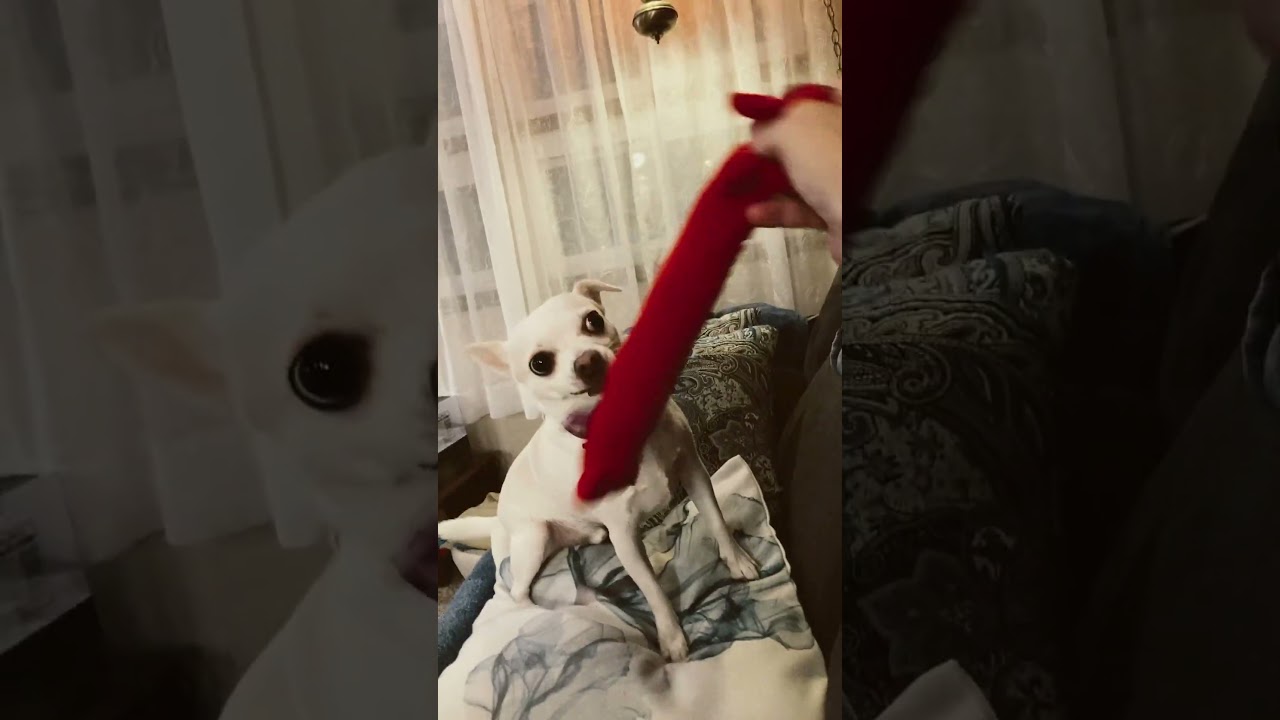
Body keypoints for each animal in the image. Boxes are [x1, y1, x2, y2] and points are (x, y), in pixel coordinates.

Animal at [437, 280, 759, 662]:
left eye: (593, 321)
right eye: (539, 364)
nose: (587, 361)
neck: (618, 427)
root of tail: (498, 521)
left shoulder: (694, 473)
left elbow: (716, 520)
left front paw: (736, 560)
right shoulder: (626, 537)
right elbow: (653, 590)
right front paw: (671, 636)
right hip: (533, 538)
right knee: (517, 592)